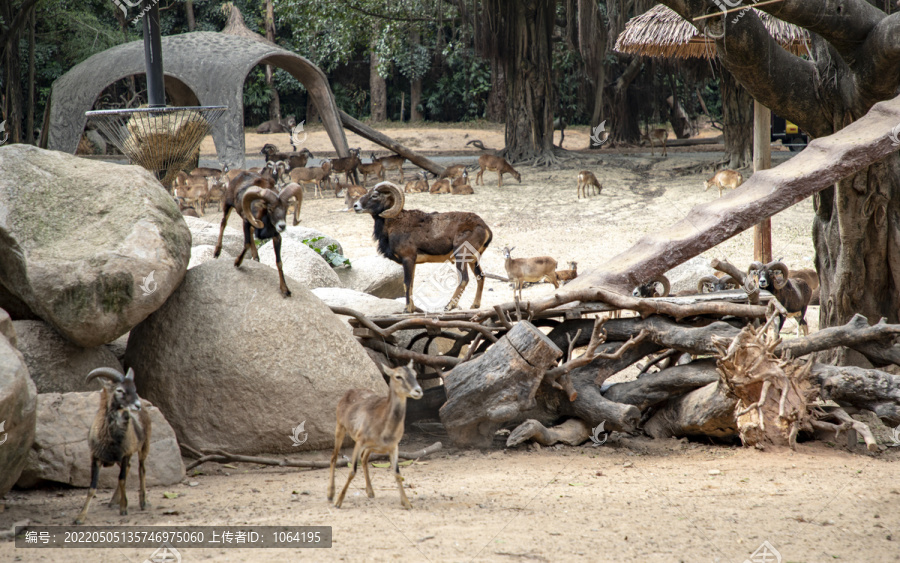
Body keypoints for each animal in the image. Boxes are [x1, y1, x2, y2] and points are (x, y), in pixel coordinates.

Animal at [74, 368, 151, 528]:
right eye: (120, 390)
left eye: (134, 388)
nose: (137, 405)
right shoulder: (96, 458)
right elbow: (92, 488)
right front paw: (80, 517)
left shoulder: (126, 454)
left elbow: (122, 479)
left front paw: (123, 508)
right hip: (117, 459)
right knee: (130, 468)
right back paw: (113, 501)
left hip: (143, 447)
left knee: (141, 470)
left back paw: (143, 502)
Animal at [214, 170, 302, 298]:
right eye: (270, 209)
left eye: (286, 208)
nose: (282, 226)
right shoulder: (246, 222)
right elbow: (246, 244)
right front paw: (237, 262)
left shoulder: (276, 237)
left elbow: (279, 262)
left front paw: (285, 290)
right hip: (228, 205)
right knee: (223, 223)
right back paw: (216, 252)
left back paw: (256, 257)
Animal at [328, 362, 424, 512]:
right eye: (398, 376)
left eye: (415, 373)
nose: (418, 391)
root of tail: (348, 392)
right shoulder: (360, 441)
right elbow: (352, 471)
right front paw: (338, 502)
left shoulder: (393, 446)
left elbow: (397, 473)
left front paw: (407, 503)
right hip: (340, 426)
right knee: (333, 457)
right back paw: (330, 494)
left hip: (371, 447)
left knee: (364, 458)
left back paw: (370, 491)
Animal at [354, 182, 492, 312]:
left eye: (374, 195)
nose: (355, 206)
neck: (393, 225)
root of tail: (484, 227)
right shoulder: (412, 263)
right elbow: (411, 284)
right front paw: (412, 308)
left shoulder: (408, 259)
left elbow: (406, 283)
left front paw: (407, 309)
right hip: (472, 259)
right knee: (480, 276)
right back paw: (474, 305)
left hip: (461, 256)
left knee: (464, 279)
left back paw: (449, 306)